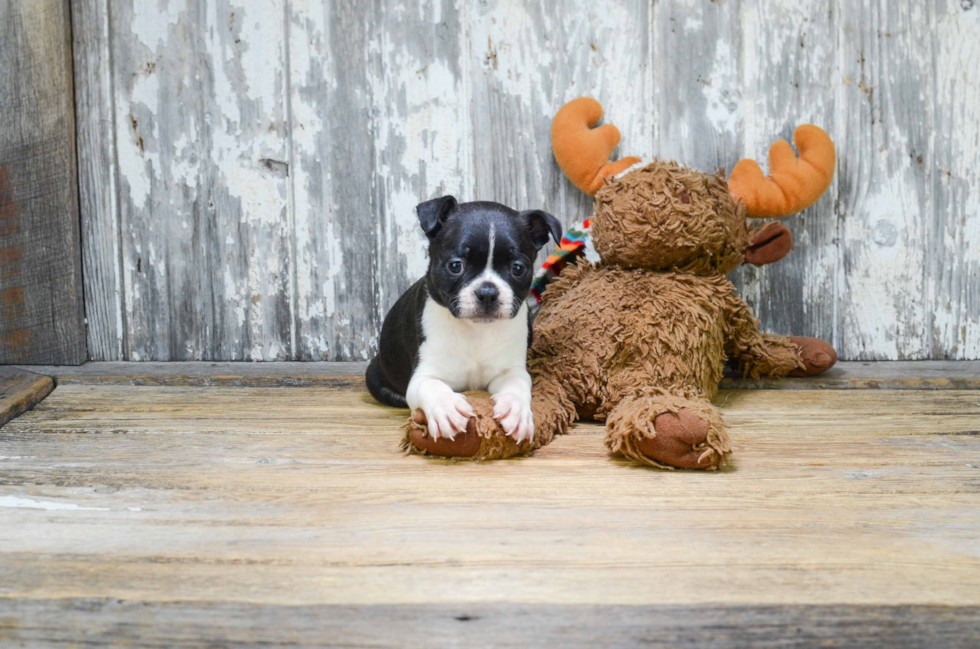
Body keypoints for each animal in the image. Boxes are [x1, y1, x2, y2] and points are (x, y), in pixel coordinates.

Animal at [368, 195, 564, 442]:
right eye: (455, 266)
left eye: (518, 268)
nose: (488, 292)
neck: (475, 331)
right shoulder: (423, 375)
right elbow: (431, 387)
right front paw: (446, 409)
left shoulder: (510, 370)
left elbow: (517, 384)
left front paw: (516, 410)